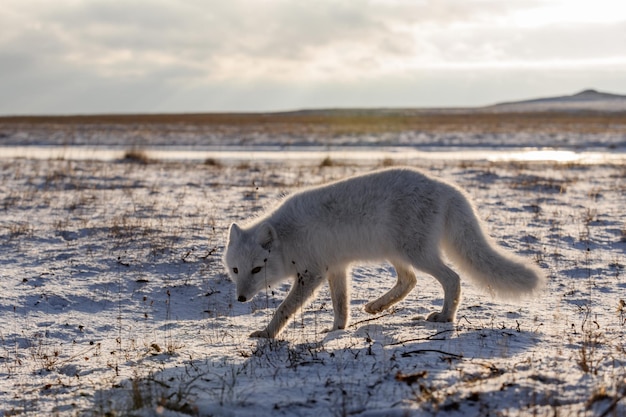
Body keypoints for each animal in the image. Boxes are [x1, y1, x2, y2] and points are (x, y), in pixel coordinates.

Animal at [223, 167, 540, 338]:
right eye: (236, 270)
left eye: (257, 269)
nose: (241, 298)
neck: (288, 237)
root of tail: (446, 187)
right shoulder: (335, 268)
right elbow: (341, 304)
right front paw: (337, 330)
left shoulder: (311, 274)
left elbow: (284, 309)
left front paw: (266, 335)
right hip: (397, 253)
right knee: (409, 281)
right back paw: (377, 307)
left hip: (416, 253)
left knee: (452, 279)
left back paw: (444, 318)